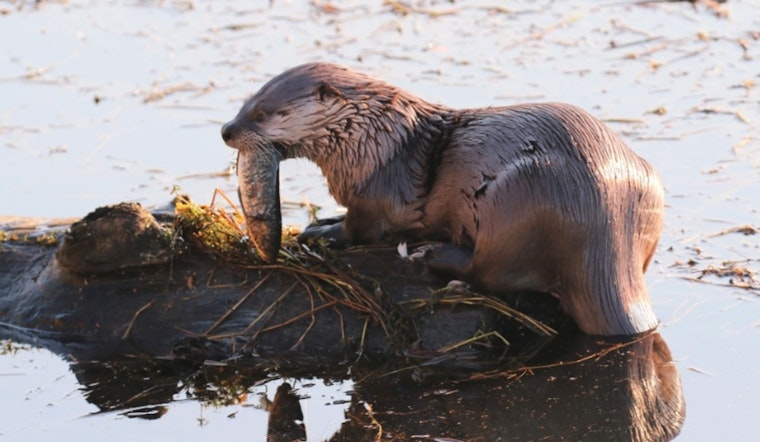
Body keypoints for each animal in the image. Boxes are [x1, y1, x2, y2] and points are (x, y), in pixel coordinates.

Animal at [221, 62, 664, 337]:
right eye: (245, 102)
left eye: (262, 114)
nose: (226, 129)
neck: (371, 140)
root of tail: (607, 228)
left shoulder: (375, 194)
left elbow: (360, 228)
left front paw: (322, 232)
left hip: (520, 199)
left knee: (490, 273)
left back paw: (438, 256)